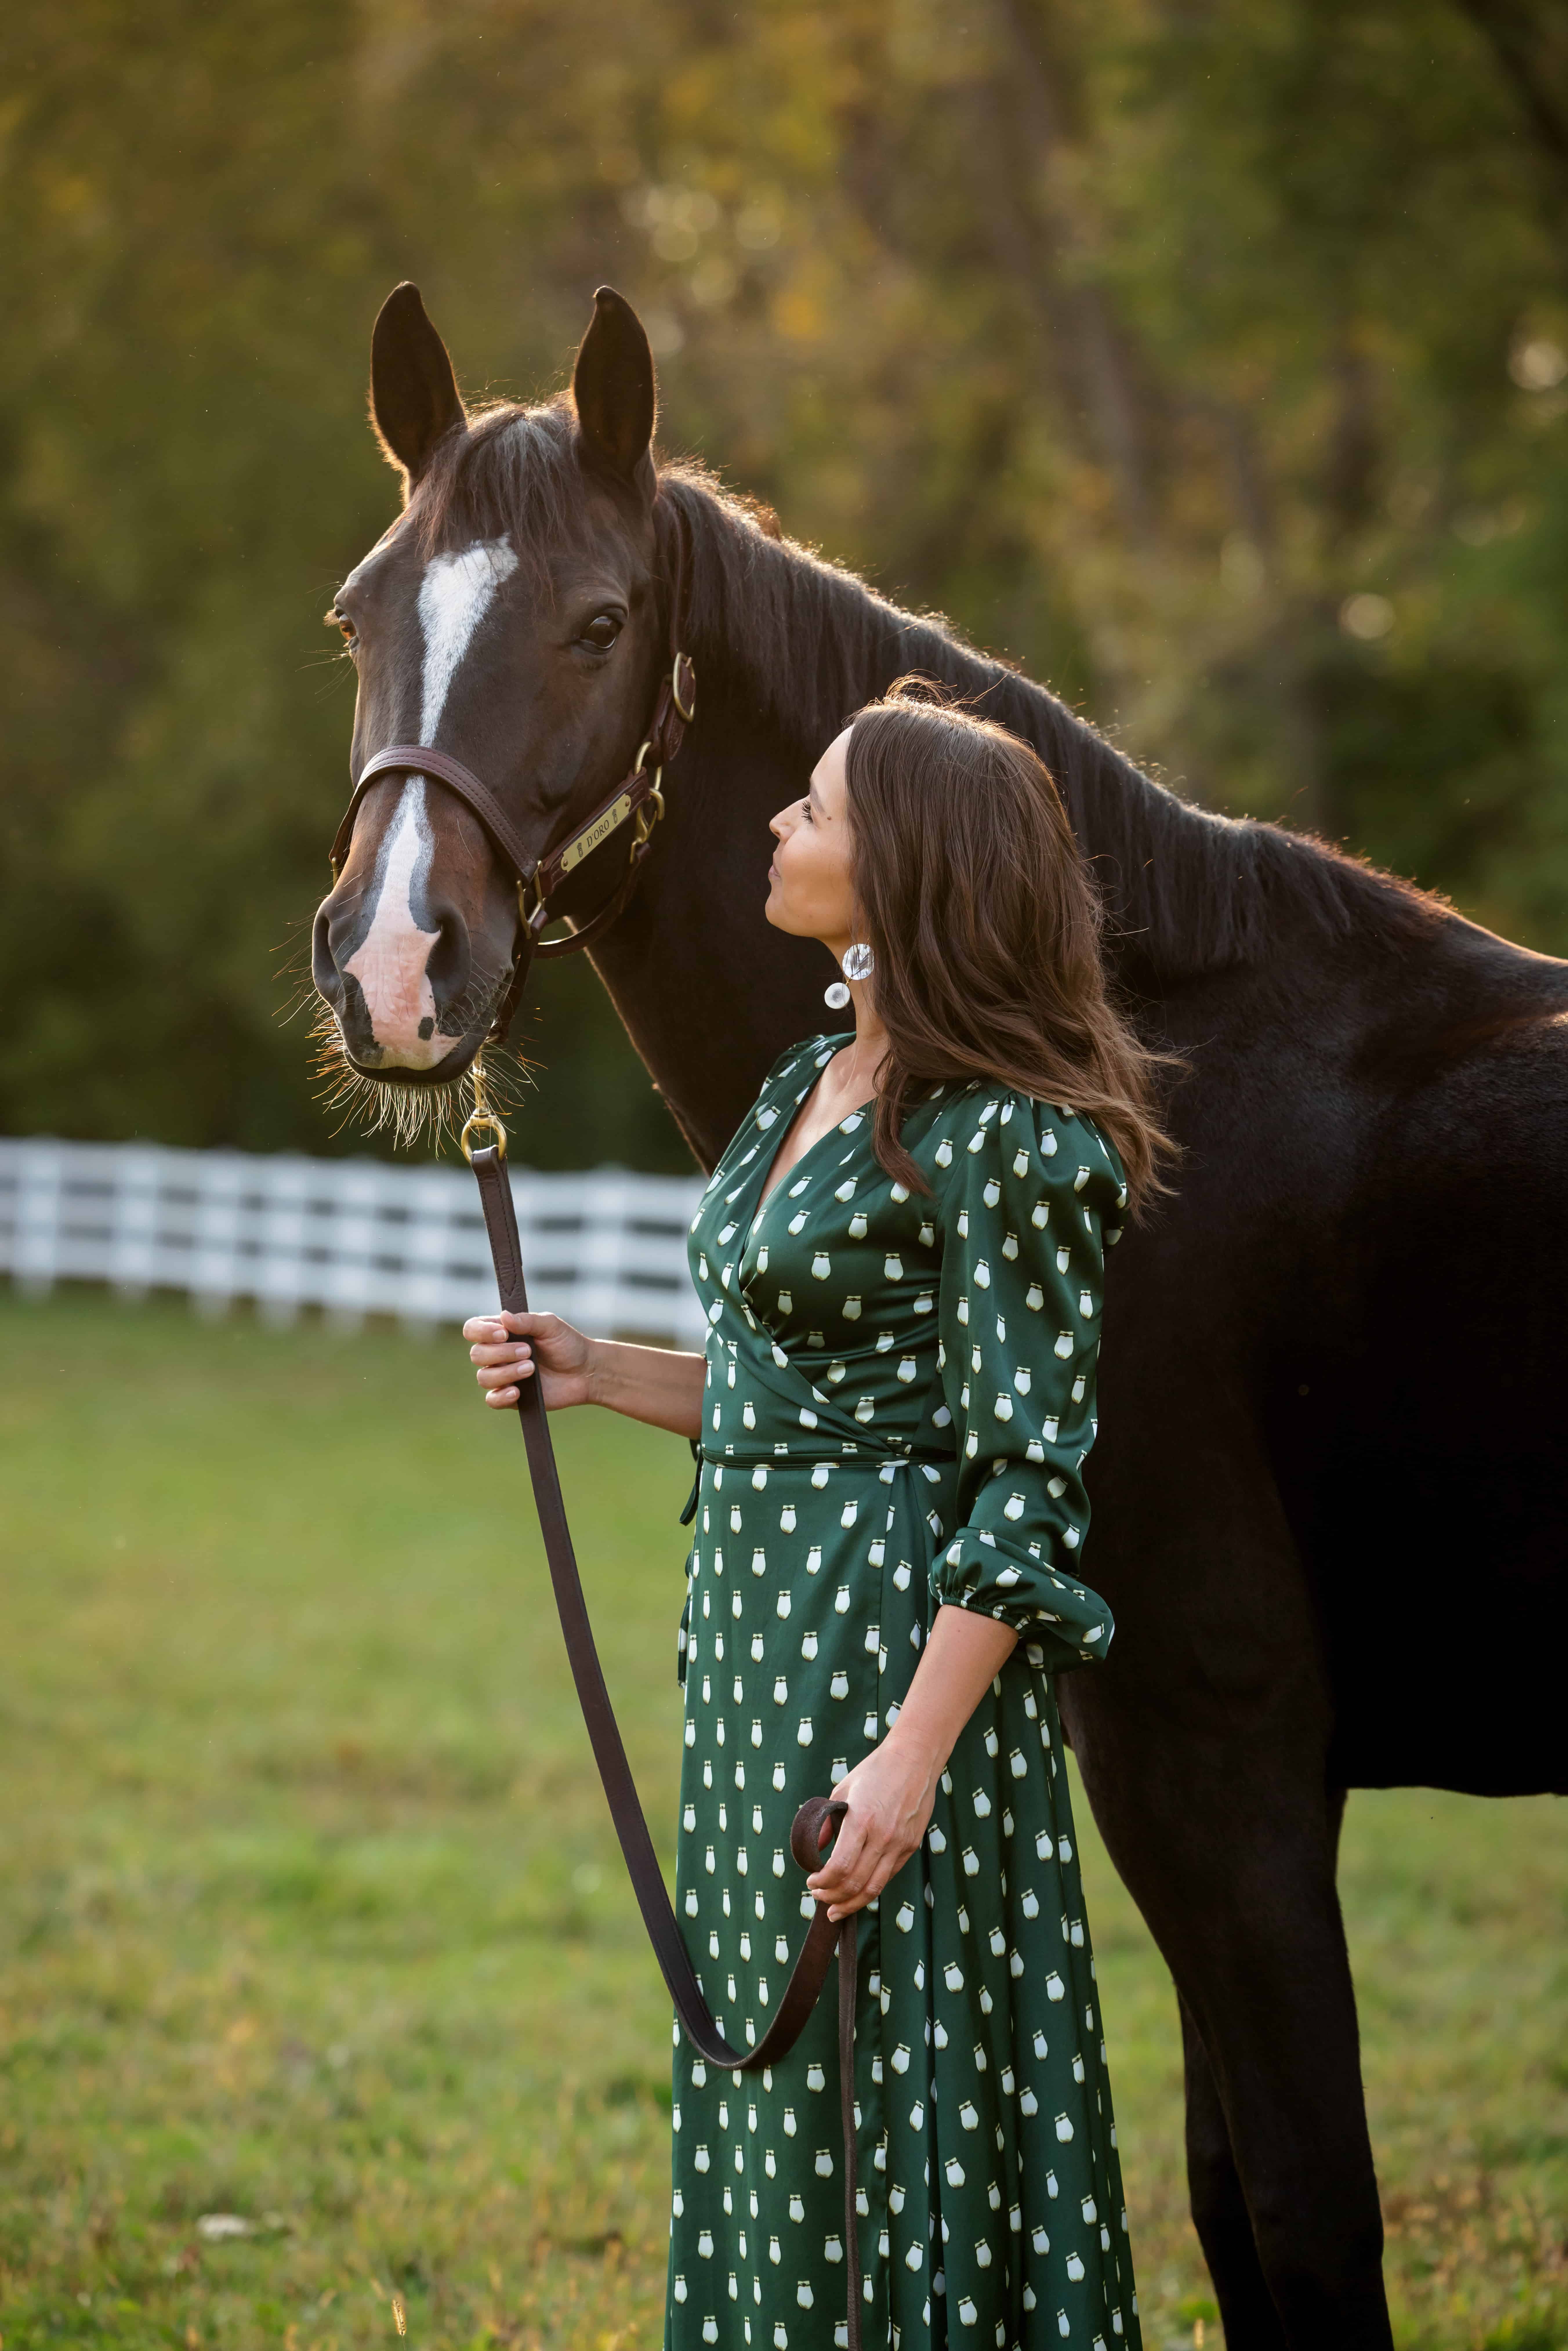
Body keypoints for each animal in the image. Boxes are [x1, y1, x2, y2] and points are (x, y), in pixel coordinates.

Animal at [310, 281, 1568, 2350]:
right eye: (360, 613)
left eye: (597, 620)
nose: (397, 970)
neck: (1131, 1073)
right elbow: (1237, 2211)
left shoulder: (1221, 1761)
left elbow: (1305, 2215)